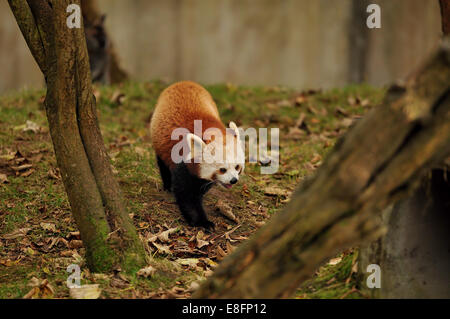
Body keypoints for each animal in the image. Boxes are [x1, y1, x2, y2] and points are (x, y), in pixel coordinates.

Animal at [149, 81, 244, 229]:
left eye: (237, 167)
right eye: (222, 169)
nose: (233, 180)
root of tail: (182, 82)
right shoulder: (182, 161)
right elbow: (187, 194)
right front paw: (202, 222)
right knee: (163, 164)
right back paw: (167, 186)